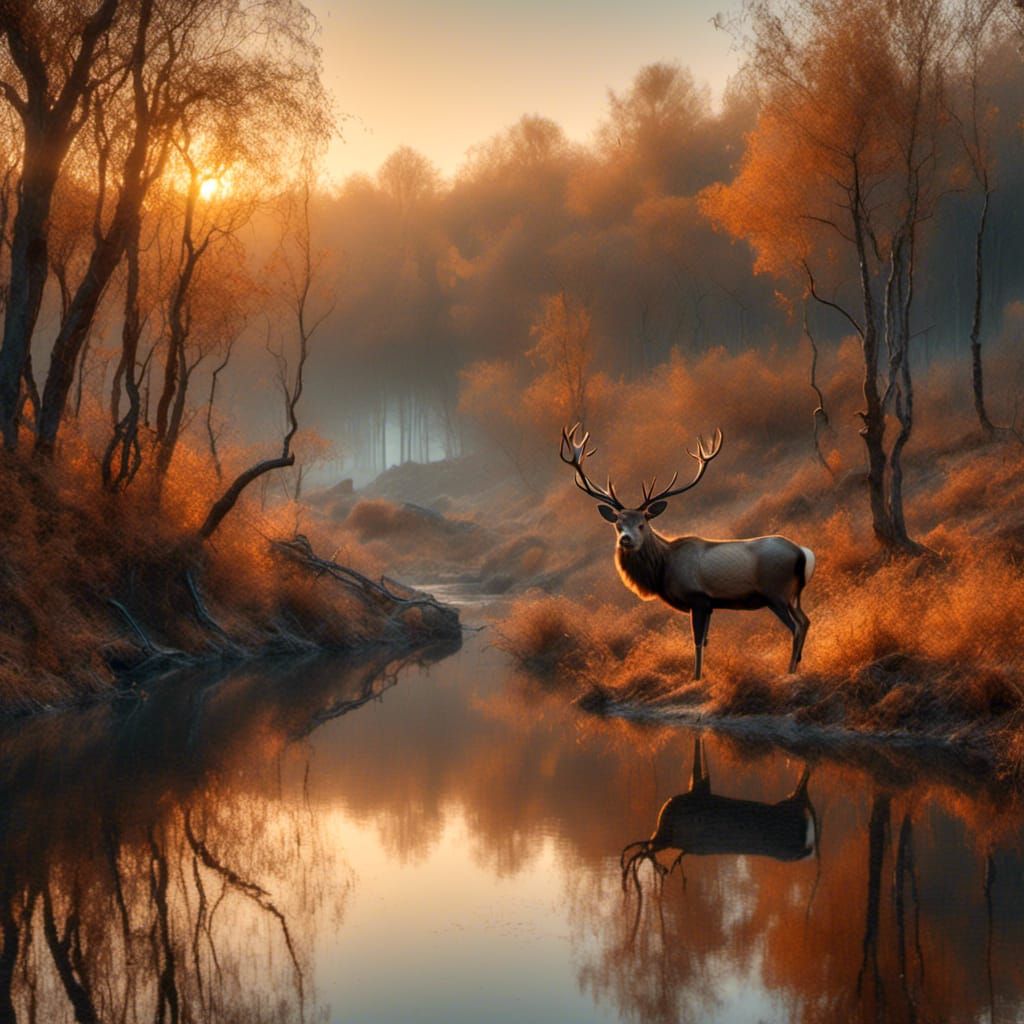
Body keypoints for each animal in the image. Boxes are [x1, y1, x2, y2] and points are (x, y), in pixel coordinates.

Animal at [559, 424, 815, 680]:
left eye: (642, 523)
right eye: (618, 525)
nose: (626, 540)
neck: (663, 569)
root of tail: (803, 553)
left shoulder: (698, 598)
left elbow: (698, 642)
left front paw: (696, 677)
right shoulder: (710, 604)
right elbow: (707, 640)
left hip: (776, 592)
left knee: (796, 627)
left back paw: (790, 671)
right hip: (793, 595)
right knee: (806, 621)